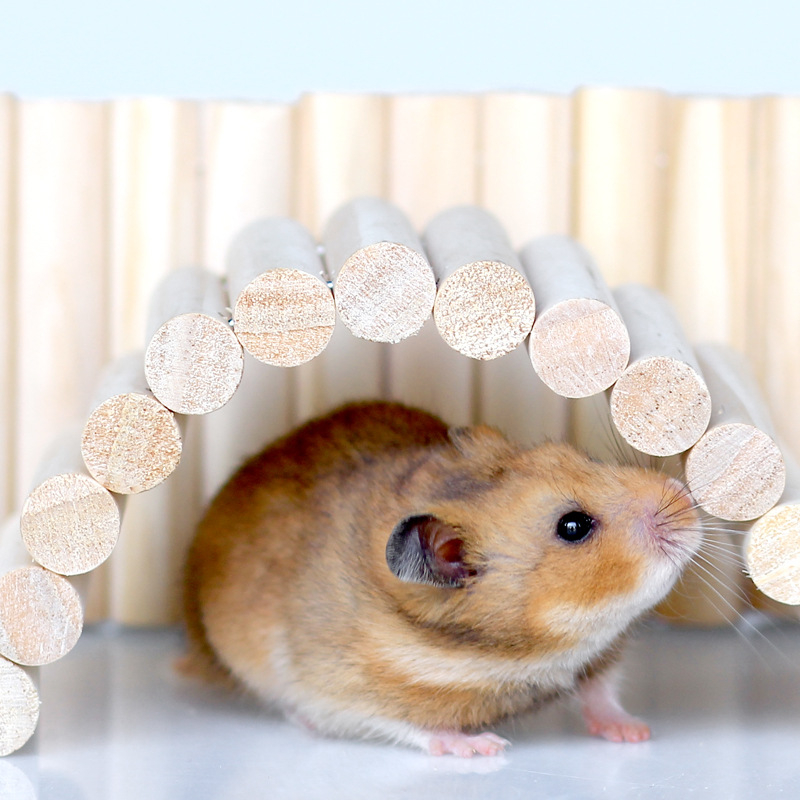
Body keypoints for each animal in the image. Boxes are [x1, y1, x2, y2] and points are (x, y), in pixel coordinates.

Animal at [181, 401, 701, 757]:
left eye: (580, 458)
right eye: (573, 526)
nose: (686, 498)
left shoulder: (597, 656)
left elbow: (601, 692)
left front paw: (635, 733)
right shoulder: (343, 688)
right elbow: (413, 724)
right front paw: (484, 747)